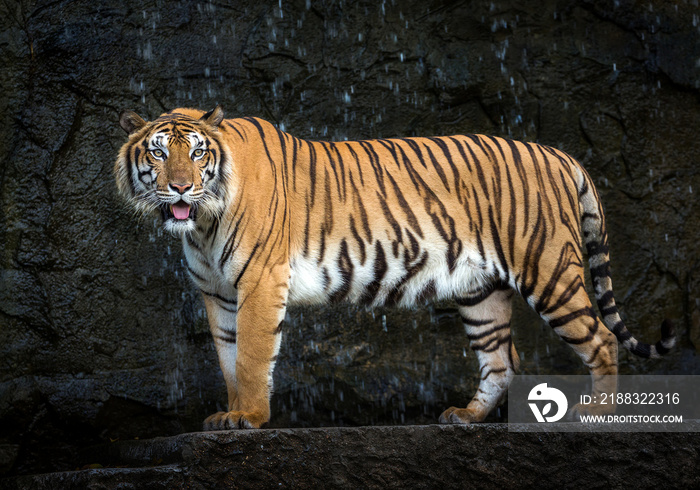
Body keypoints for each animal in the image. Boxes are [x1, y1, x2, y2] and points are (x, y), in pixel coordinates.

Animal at [116, 106, 680, 428]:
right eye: (159, 154)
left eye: (198, 153)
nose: (181, 187)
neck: (201, 224)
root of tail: (561, 155)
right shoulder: (218, 294)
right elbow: (228, 360)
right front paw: (230, 413)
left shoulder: (258, 283)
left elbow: (253, 359)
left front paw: (249, 418)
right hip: (481, 291)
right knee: (502, 361)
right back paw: (466, 417)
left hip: (548, 269)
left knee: (600, 339)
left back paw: (596, 416)